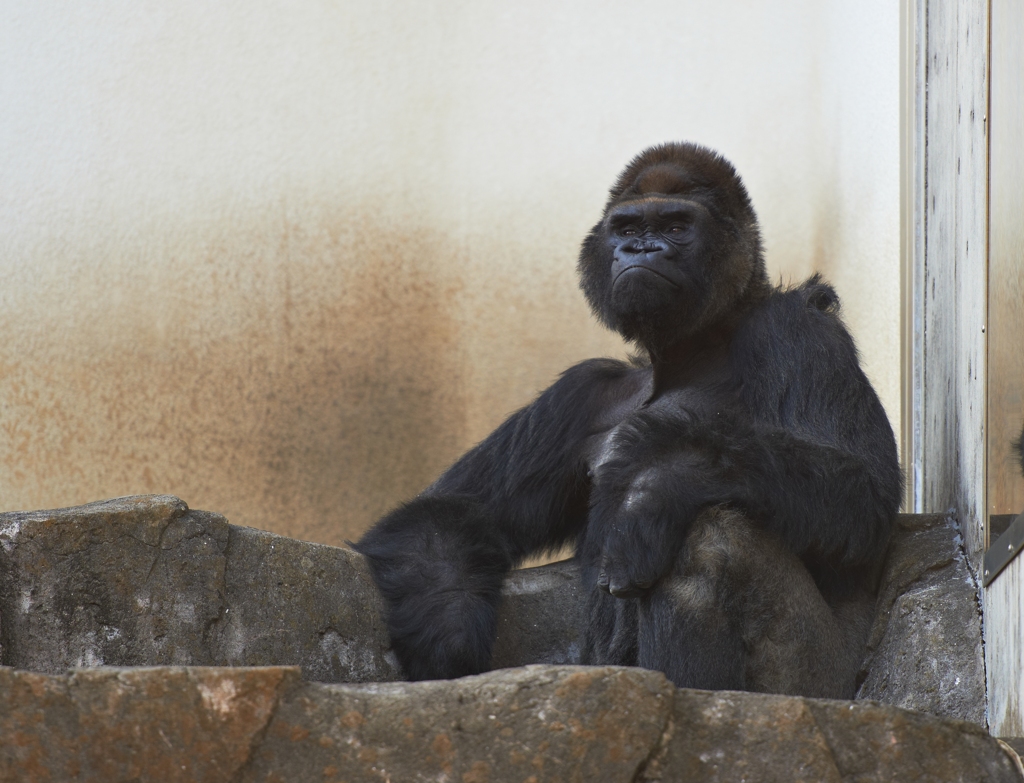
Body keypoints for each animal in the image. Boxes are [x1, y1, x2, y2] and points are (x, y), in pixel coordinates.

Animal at [356, 142, 901, 696]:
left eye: (677, 226)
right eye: (627, 228)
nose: (640, 250)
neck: (694, 350)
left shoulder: (798, 329)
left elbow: (862, 490)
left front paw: (661, 482)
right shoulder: (583, 392)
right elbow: (457, 506)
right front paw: (446, 628)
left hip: (823, 680)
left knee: (710, 539)